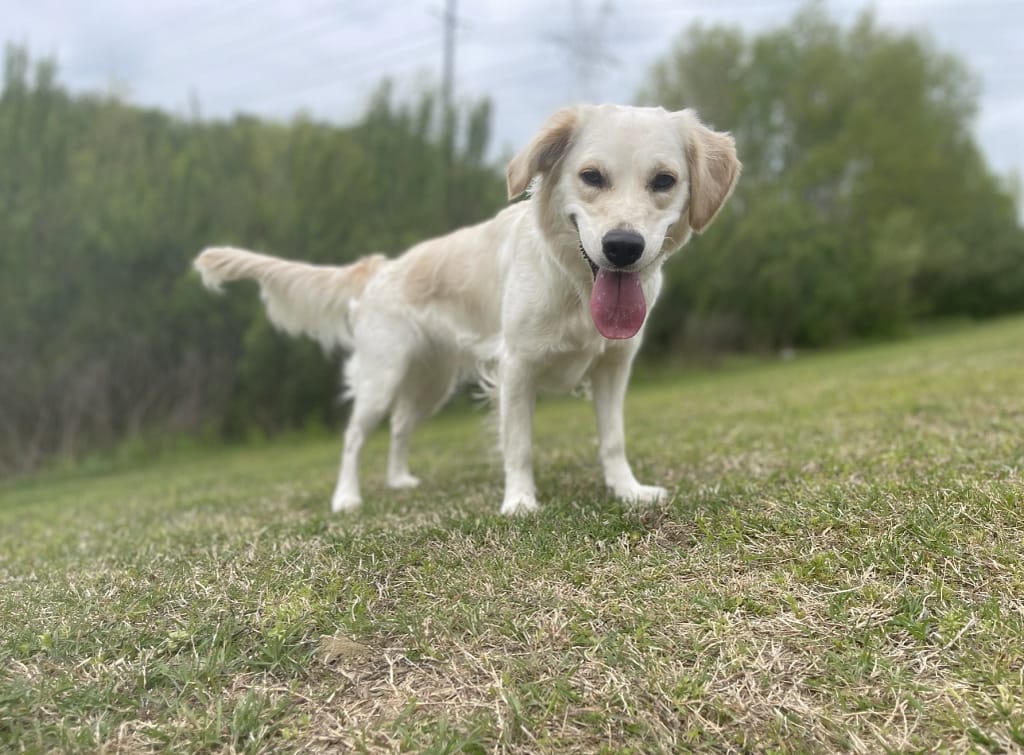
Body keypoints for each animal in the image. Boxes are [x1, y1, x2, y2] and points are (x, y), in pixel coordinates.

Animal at [193, 102, 737, 516]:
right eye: (591, 176)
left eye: (663, 181)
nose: (623, 247)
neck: (575, 286)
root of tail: (381, 268)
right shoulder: (516, 368)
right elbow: (518, 444)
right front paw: (519, 502)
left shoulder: (614, 368)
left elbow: (613, 439)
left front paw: (628, 490)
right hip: (383, 376)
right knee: (353, 438)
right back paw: (346, 498)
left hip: (431, 383)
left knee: (399, 428)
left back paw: (399, 481)